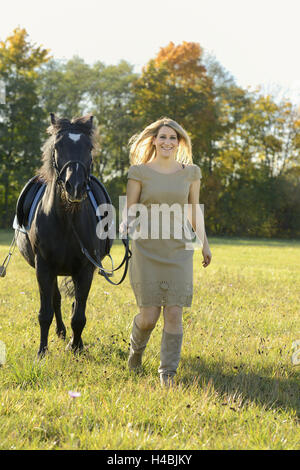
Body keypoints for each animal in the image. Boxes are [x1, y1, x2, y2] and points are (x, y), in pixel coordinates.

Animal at [15, 114, 111, 356]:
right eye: (57, 146)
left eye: (89, 147)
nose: (74, 186)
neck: (67, 221)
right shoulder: (43, 267)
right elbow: (45, 312)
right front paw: (42, 352)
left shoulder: (86, 269)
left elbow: (79, 315)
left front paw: (76, 347)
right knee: (56, 300)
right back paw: (59, 332)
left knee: (74, 303)